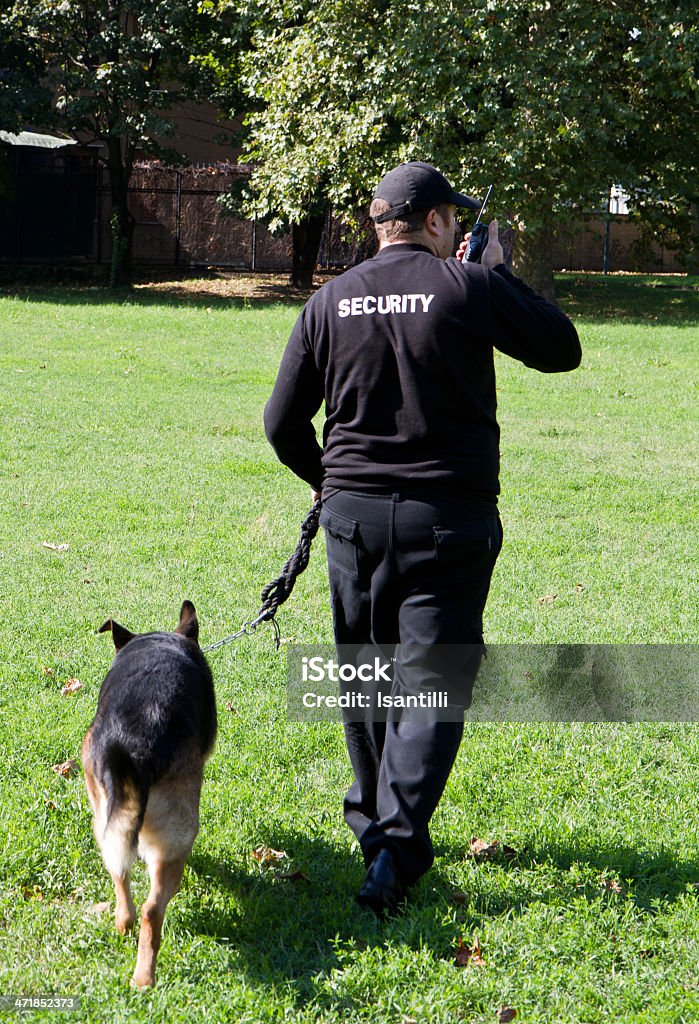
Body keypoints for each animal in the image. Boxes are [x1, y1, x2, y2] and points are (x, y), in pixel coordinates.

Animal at [80, 602, 215, 987]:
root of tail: (138, 746)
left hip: (103, 812)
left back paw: (122, 926)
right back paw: (144, 979)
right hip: (178, 828)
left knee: (119, 874)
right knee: (153, 909)